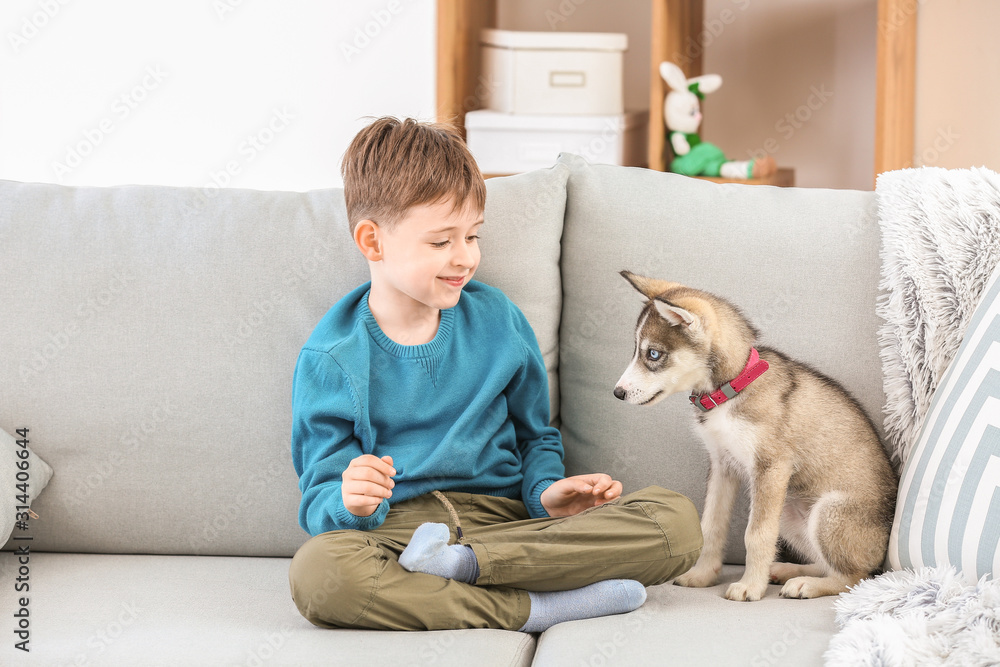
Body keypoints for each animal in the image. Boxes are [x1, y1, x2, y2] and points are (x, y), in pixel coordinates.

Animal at [612, 268, 896, 604]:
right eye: (636, 350)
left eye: (653, 354)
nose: (617, 393)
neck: (731, 390)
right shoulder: (722, 466)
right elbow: (711, 526)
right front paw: (703, 575)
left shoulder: (772, 468)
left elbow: (756, 535)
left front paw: (750, 586)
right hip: (788, 509)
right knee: (827, 565)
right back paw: (786, 571)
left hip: (826, 511)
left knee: (854, 577)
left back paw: (805, 584)